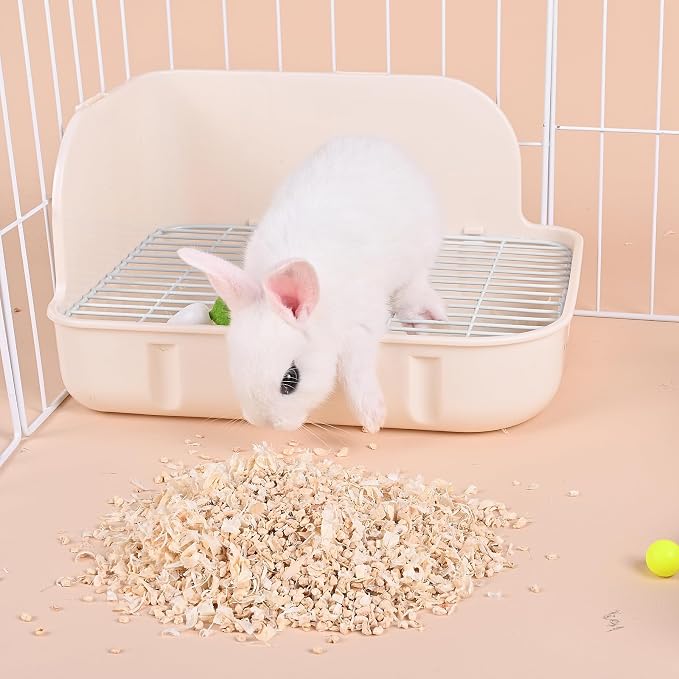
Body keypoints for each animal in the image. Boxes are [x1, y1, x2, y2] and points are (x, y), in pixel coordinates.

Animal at [178, 136, 446, 433]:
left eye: (291, 379)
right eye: (233, 367)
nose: (267, 424)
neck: (320, 313)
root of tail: (372, 140)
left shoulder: (361, 326)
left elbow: (355, 369)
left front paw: (372, 417)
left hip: (422, 248)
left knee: (415, 282)